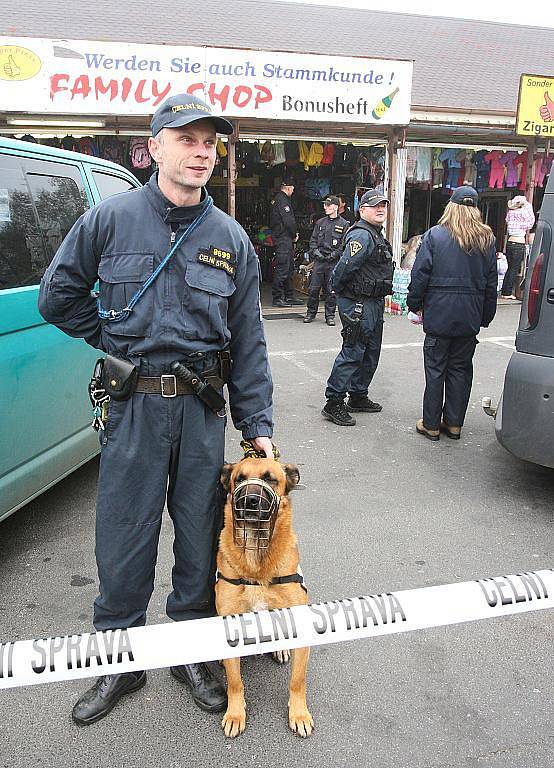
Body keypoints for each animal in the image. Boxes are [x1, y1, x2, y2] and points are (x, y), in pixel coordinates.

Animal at [215, 456, 312, 736]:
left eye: (271, 478)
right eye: (239, 478)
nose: (250, 501)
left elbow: (297, 681)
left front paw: (299, 714)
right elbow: (235, 682)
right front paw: (235, 714)